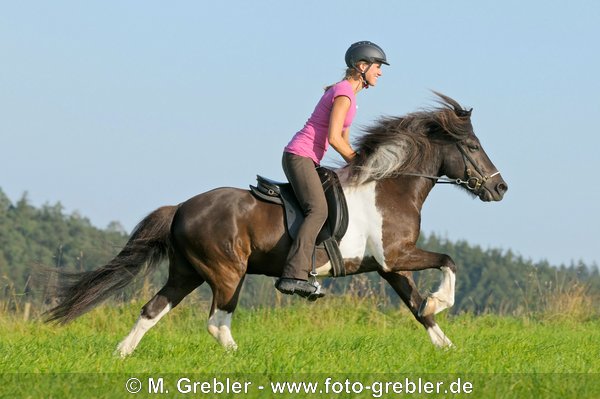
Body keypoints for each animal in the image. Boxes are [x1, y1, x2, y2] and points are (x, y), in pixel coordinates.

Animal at [45, 94, 506, 356]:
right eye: (472, 146)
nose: (500, 188)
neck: (390, 186)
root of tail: (180, 208)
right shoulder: (396, 256)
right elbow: (448, 260)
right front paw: (441, 301)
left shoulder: (389, 266)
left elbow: (416, 307)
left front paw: (448, 347)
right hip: (227, 272)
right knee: (216, 322)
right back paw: (241, 361)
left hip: (187, 272)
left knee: (153, 309)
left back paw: (121, 354)